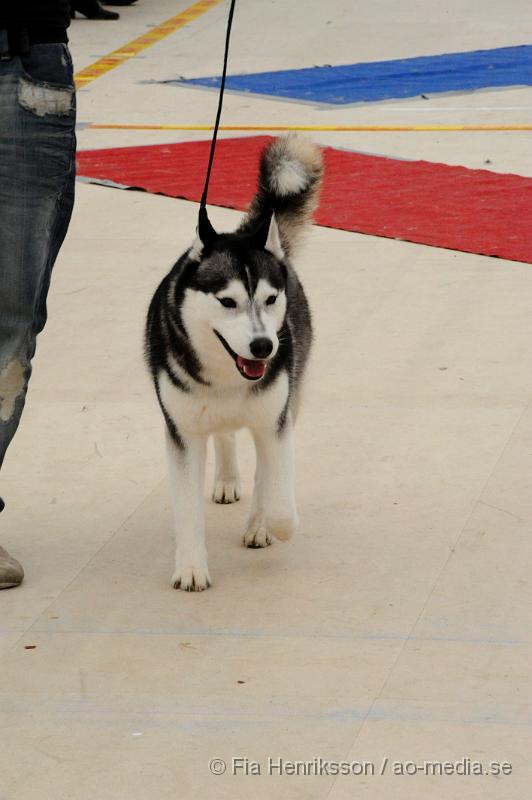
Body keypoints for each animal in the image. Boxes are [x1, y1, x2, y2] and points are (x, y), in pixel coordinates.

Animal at [143, 134, 322, 592]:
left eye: (271, 299)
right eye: (227, 302)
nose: (263, 347)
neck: (227, 379)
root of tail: (241, 232)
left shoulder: (275, 421)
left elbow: (277, 493)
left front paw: (273, 524)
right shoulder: (182, 433)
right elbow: (187, 509)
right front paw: (191, 567)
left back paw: (258, 521)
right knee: (224, 434)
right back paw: (226, 478)